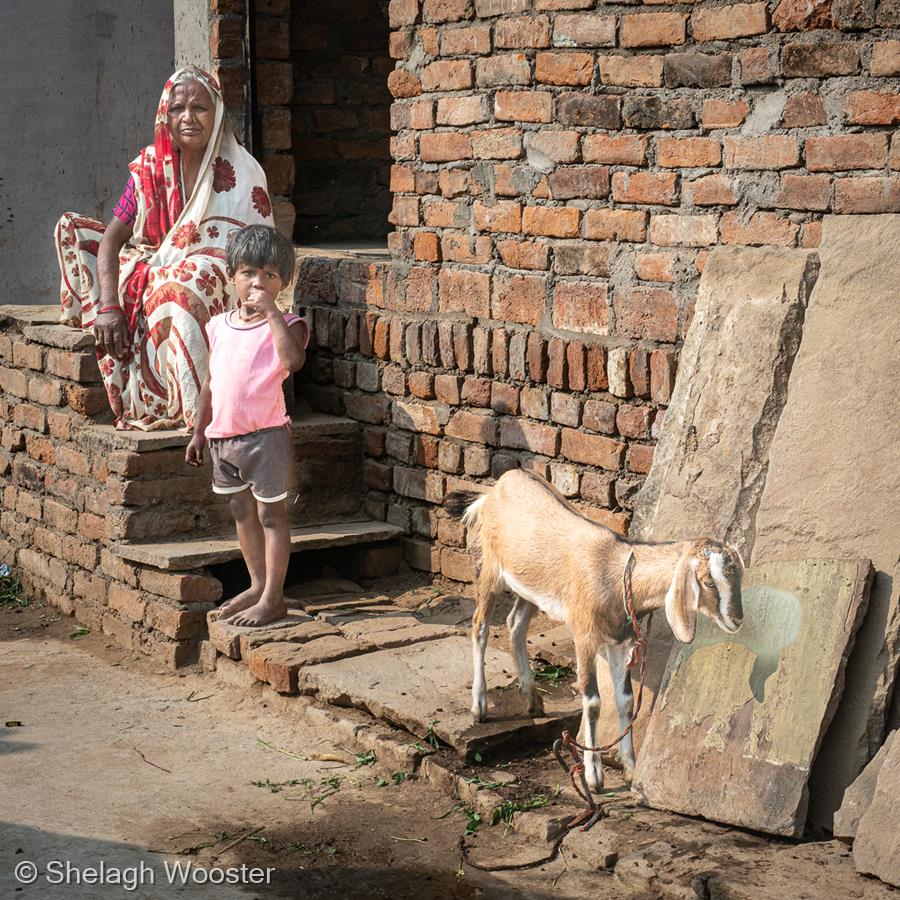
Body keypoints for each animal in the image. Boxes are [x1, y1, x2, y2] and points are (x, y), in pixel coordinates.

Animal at [444, 468, 744, 792]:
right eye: (709, 582)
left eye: (738, 576)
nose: (737, 620)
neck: (616, 573)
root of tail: (496, 487)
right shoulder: (585, 638)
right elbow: (593, 702)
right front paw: (593, 774)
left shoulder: (621, 644)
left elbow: (625, 701)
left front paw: (630, 769)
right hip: (490, 571)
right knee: (480, 627)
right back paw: (480, 705)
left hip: (529, 587)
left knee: (515, 624)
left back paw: (533, 699)